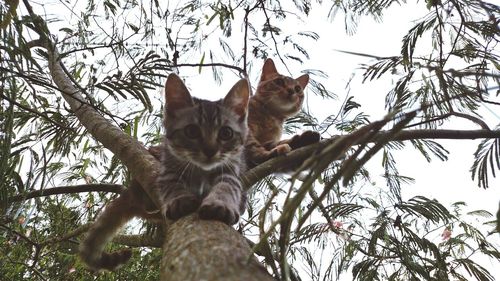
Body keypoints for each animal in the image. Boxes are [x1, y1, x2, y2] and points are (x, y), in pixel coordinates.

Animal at [79, 73, 249, 270]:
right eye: (192, 131)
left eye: (226, 133)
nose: (210, 150)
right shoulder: (168, 168)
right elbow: (171, 183)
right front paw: (180, 200)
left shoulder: (229, 171)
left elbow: (227, 186)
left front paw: (220, 204)